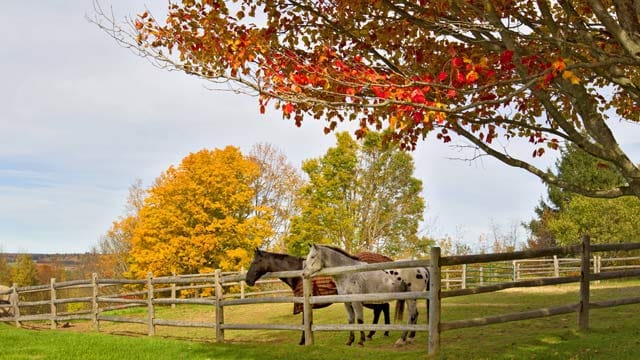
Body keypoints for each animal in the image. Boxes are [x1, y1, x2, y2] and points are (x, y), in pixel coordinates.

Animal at [245, 249, 392, 344]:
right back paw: (377, 333)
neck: (298, 273)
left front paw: (303, 341)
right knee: (382, 308)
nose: (247, 280)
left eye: (256, 262)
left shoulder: (303, 304)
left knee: (382, 309)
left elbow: (304, 322)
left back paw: (376, 333)